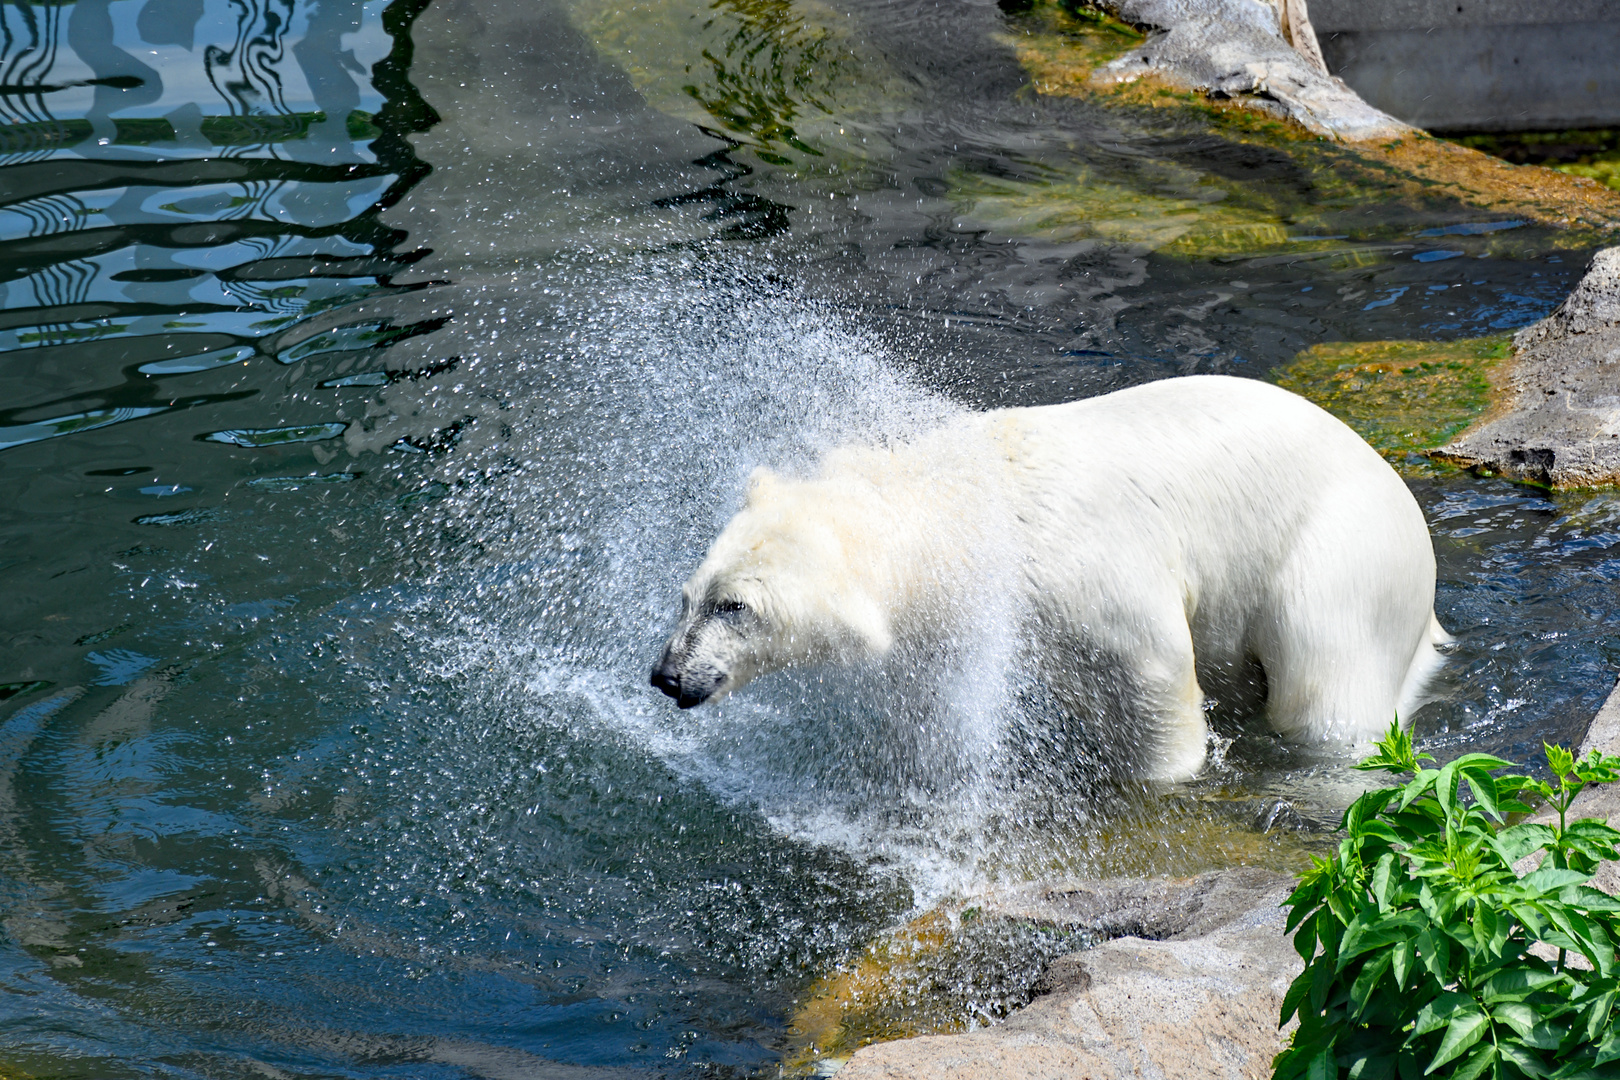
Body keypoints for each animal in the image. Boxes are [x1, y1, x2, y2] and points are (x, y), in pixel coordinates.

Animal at [651, 372, 1451, 777]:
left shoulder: (1084, 570)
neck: (961, 513)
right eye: (688, 595)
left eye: (734, 607)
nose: (666, 675)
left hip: (1339, 560)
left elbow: (1157, 673)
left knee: (1323, 694)